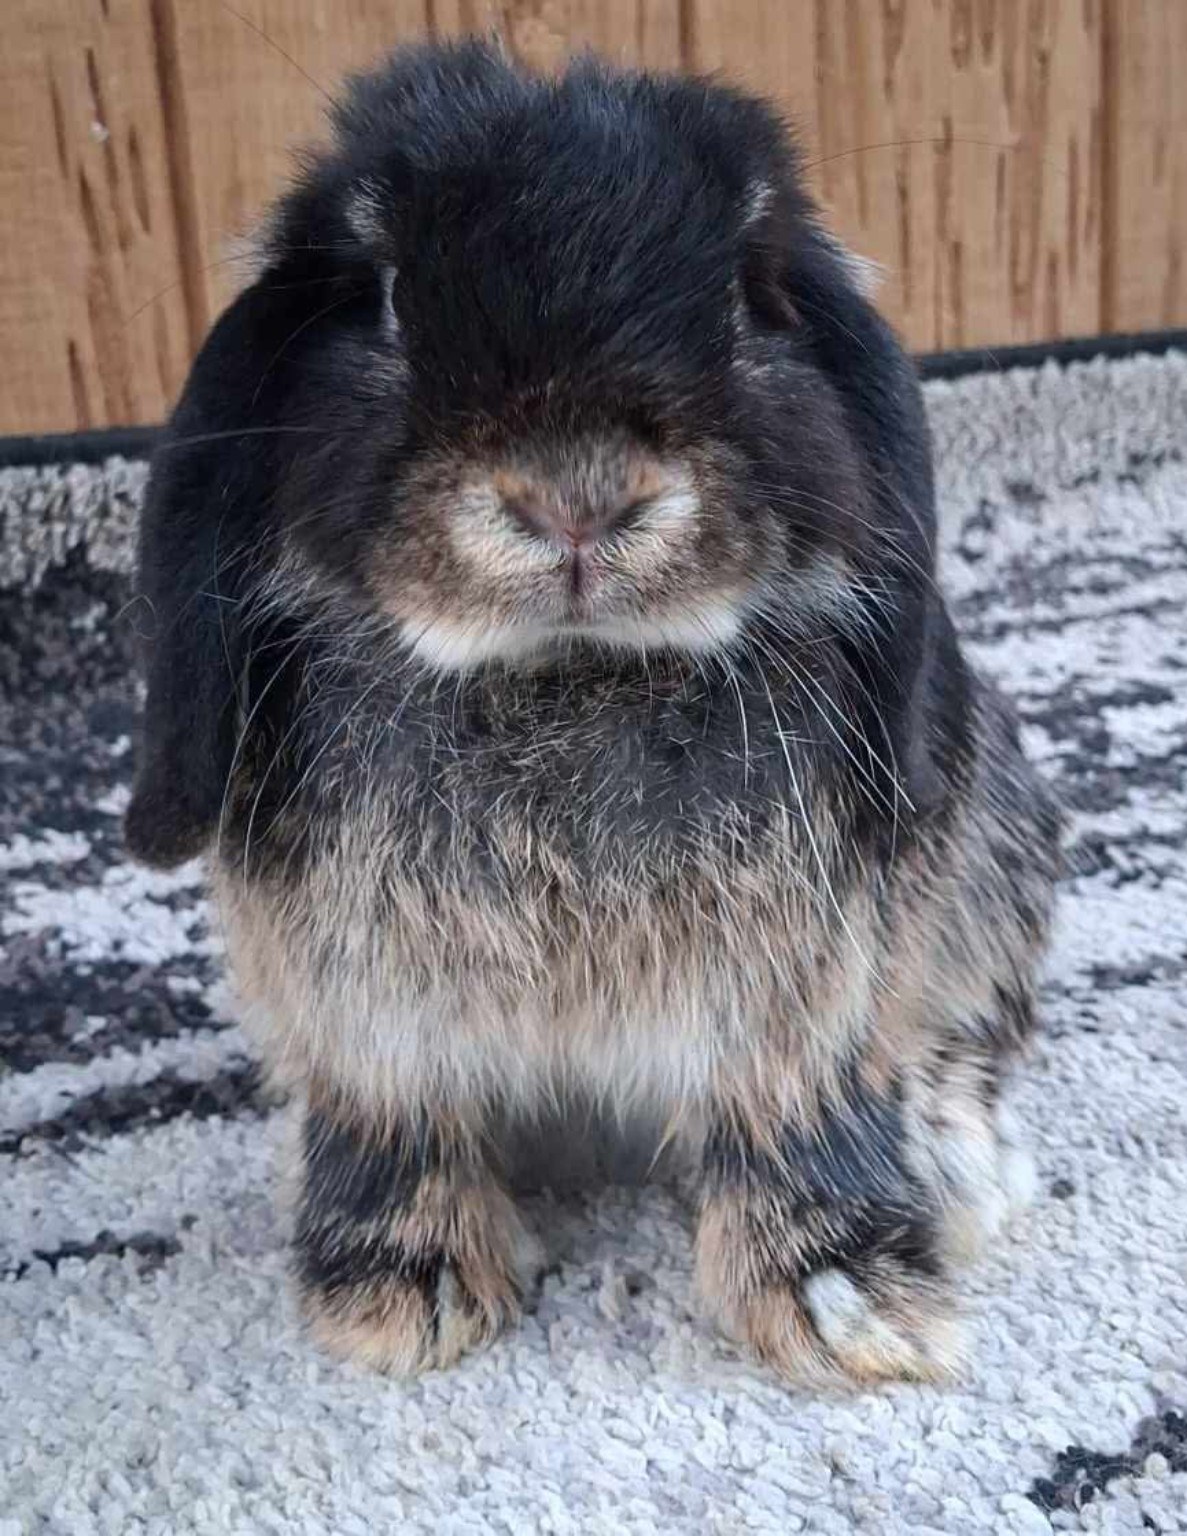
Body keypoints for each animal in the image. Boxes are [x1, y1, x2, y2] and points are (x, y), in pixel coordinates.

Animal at [125, 39, 1062, 1385]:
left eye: (746, 297)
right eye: (386, 298)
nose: (577, 502)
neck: (564, 673)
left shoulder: (800, 996)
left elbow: (802, 1111)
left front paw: (852, 1308)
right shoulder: (365, 1015)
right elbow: (390, 1121)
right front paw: (400, 1299)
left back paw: (956, 1169)